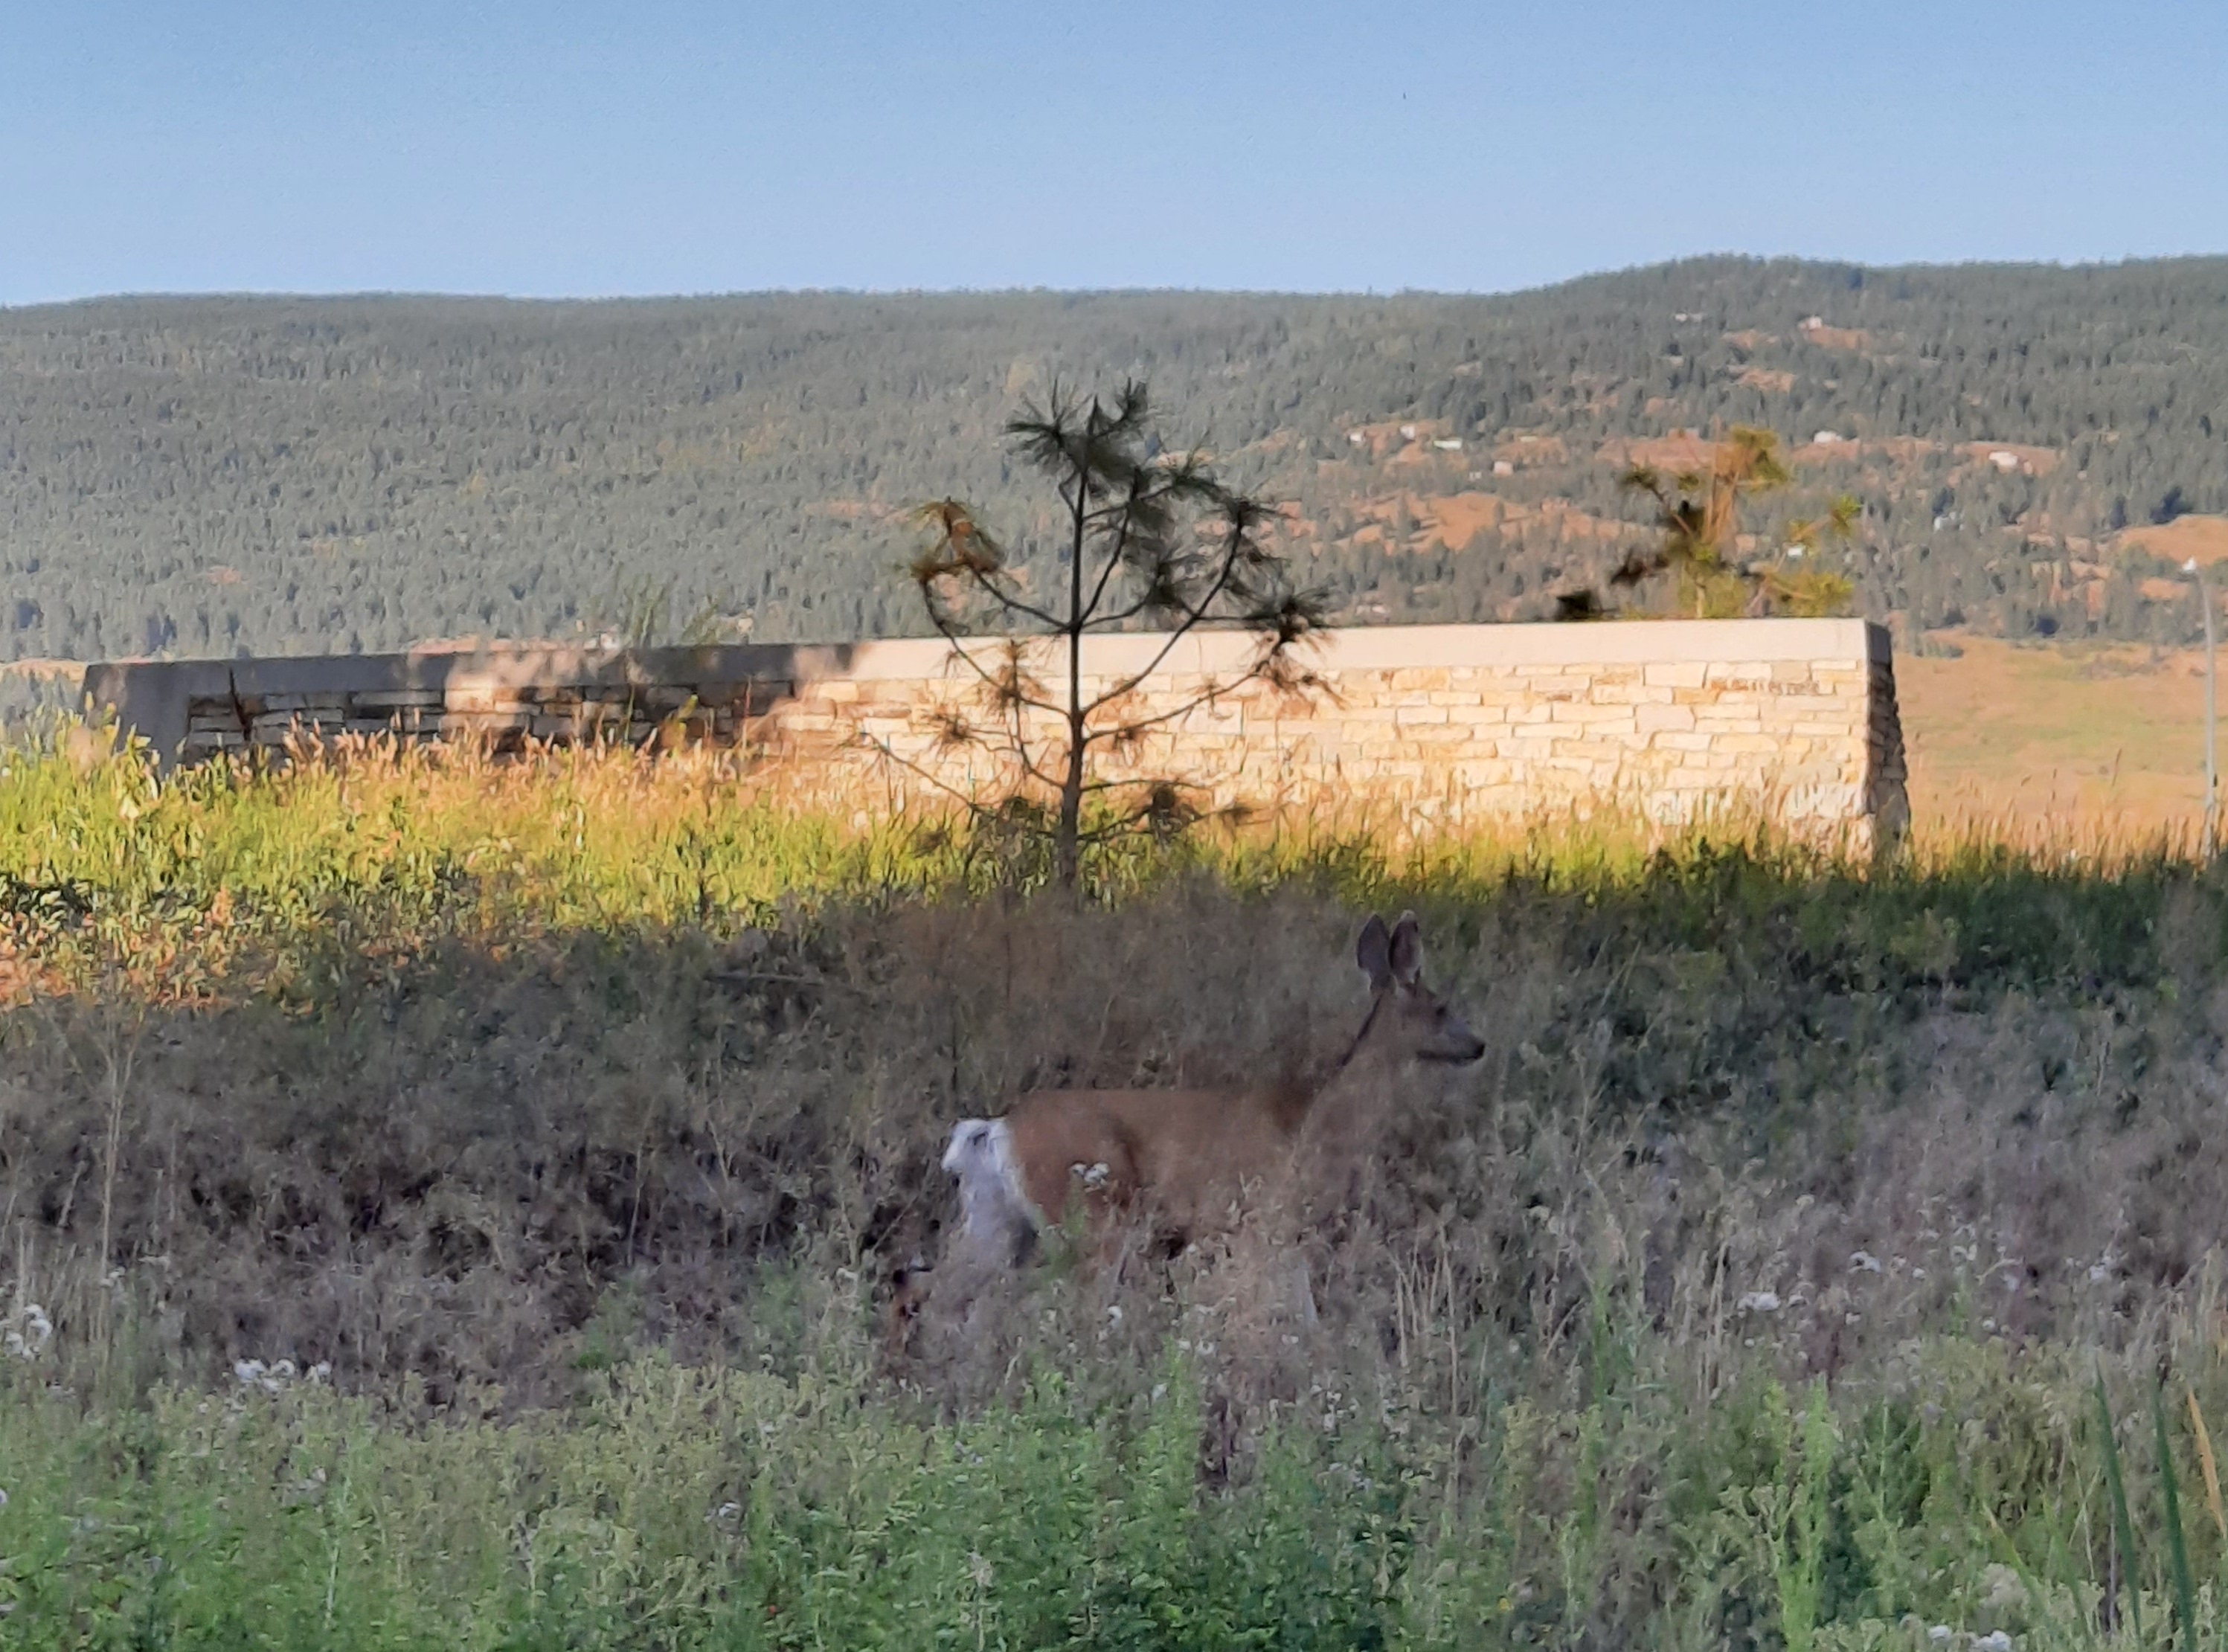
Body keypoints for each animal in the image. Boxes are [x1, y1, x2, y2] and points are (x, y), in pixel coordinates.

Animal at [932, 912, 1484, 1303]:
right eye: (1441, 1007)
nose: (1478, 1045)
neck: (1319, 1120)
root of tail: (997, 1128)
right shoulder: (1271, 1216)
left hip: (995, 1221)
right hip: (1087, 1212)